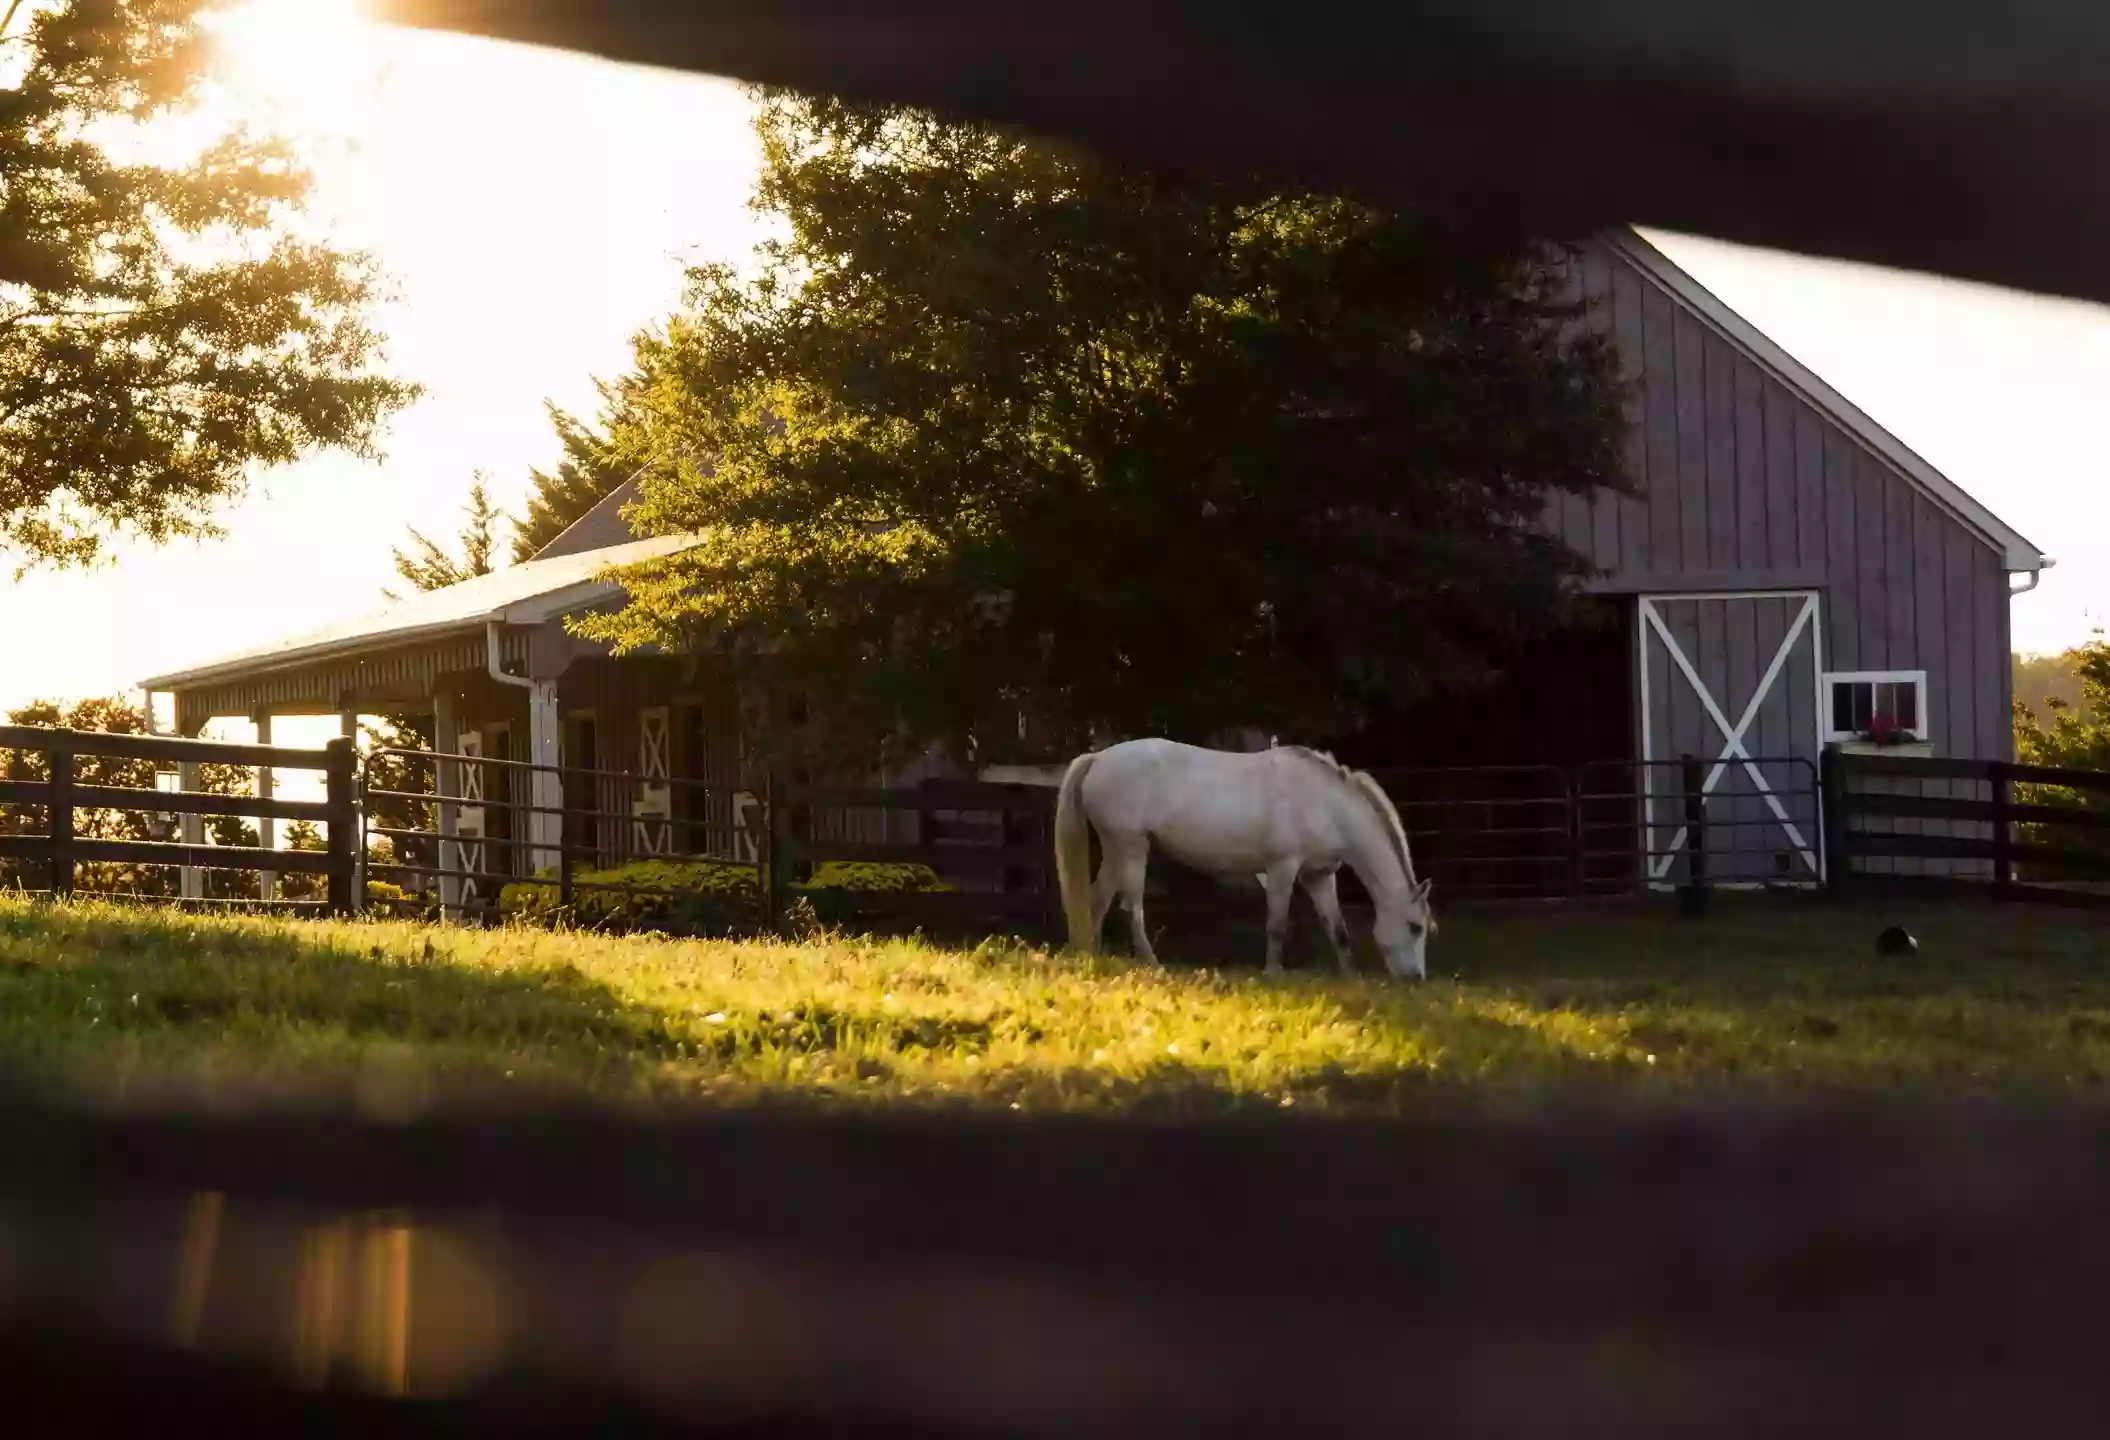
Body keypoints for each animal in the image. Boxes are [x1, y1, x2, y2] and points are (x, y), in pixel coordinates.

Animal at [1050, 739, 1434, 975]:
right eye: (1415, 927)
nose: (1415, 979)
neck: (1327, 804)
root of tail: (1098, 758)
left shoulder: (1320, 876)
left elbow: (1337, 930)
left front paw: (1351, 976)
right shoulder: (1282, 868)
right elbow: (1276, 925)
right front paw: (1273, 972)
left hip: (1117, 850)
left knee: (1097, 899)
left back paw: (1092, 955)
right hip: (1131, 848)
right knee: (1132, 906)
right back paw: (1150, 961)